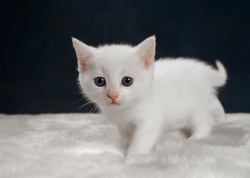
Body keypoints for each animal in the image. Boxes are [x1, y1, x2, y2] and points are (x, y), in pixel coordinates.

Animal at [72, 36, 227, 156]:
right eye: (99, 81)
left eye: (127, 81)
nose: (112, 95)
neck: (125, 111)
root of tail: (205, 71)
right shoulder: (123, 125)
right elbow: (127, 137)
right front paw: (125, 148)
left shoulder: (150, 120)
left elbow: (141, 140)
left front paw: (133, 158)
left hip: (196, 107)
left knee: (204, 124)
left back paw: (194, 138)